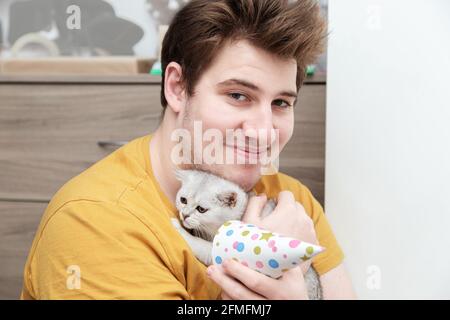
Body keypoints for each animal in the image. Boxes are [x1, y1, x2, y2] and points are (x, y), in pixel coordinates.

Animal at [171, 169, 322, 298]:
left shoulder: (219, 251)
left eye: (201, 209)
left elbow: (198, 244)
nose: (184, 215)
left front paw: (178, 228)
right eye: (183, 200)